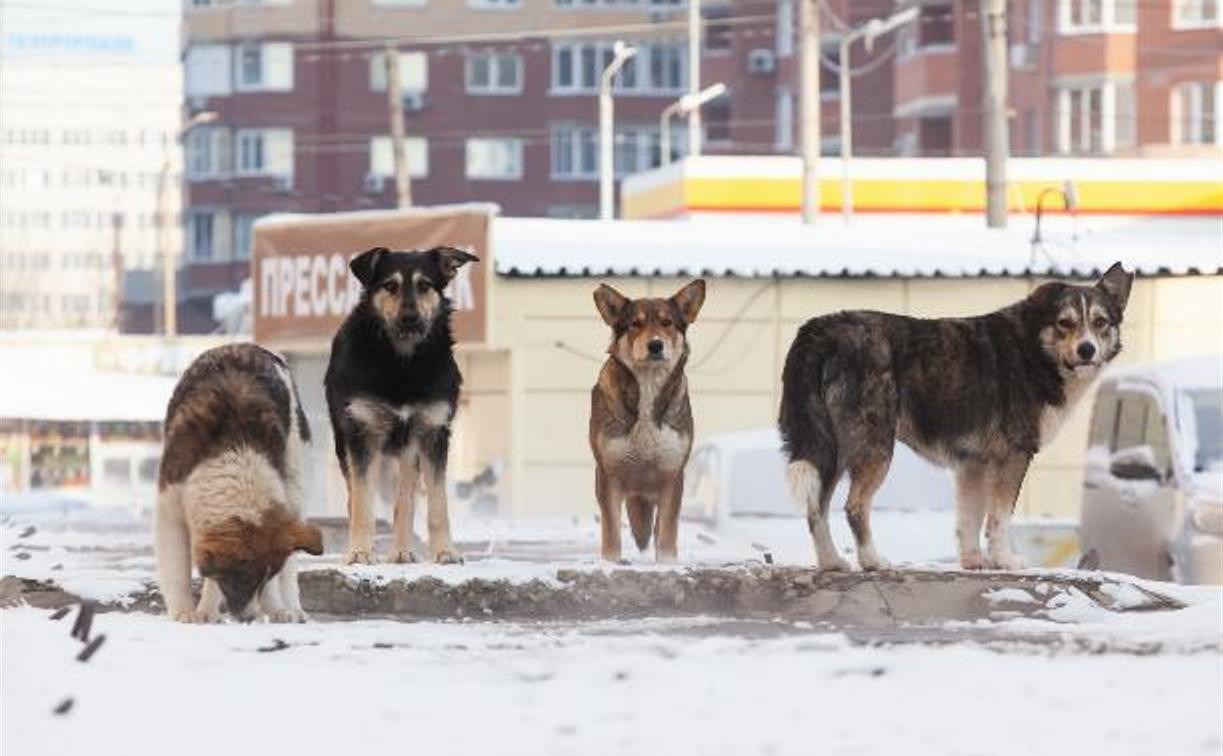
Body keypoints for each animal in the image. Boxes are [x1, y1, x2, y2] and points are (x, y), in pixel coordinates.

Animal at [155, 344, 322, 621]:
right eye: (242, 578)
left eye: (264, 577)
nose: (250, 617)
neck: (236, 451)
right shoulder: (170, 504)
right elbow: (178, 567)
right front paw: (186, 612)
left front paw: (208, 611)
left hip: (294, 477)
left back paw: (288, 608)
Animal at [325, 244, 476, 562]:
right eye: (390, 286)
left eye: (424, 285)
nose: (410, 318)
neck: (403, 363)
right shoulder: (361, 433)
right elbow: (362, 502)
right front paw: (359, 552)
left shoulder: (433, 433)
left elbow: (437, 503)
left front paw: (445, 552)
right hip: (344, 442)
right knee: (354, 496)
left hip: (408, 451)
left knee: (404, 499)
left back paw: (402, 551)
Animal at [589, 281, 709, 560]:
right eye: (635, 324)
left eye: (667, 323)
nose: (655, 345)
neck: (648, 386)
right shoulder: (608, 474)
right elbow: (611, 533)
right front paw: (610, 563)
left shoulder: (672, 474)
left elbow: (666, 534)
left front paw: (666, 564)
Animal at [777, 261, 1130, 567]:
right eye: (1065, 323)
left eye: (1100, 323)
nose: (1087, 349)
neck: (1034, 350)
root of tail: (822, 330)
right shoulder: (1014, 456)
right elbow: (999, 518)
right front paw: (1005, 561)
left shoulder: (972, 463)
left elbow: (969, 518)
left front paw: (974, 562)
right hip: (873, 447)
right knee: (854, 507)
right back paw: (872, 561)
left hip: (831, 448)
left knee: (816, 509)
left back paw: (832, 563)